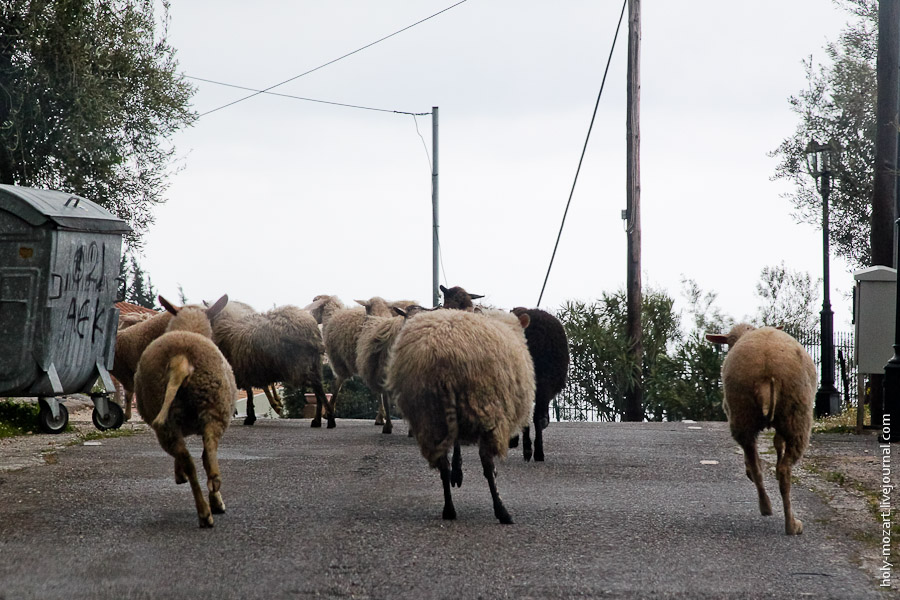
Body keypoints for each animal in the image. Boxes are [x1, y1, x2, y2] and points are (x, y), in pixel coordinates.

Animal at [134, 298, 237, 528]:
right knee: (207, 455)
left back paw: (205, 508)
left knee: (189, 460)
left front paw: (178, 474)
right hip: (215, 408)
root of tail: (180, 360)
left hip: (170, 418)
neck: (188, 326)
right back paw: (212, 505)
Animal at [384, 308, 536, 524]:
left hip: (430, 415)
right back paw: (502, 511)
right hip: (484, 406)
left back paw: (449, 509)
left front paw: (458, 472)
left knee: (443, 465)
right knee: (487, 465)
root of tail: (443, 367)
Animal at [708, 324, 820, 536]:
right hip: (796, 415)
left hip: (742, 414)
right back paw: (792, 525)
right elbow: (778, 443)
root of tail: (765, 374)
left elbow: (773, 444)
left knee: (754, 463)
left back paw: (765, 506)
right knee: (785, 470)